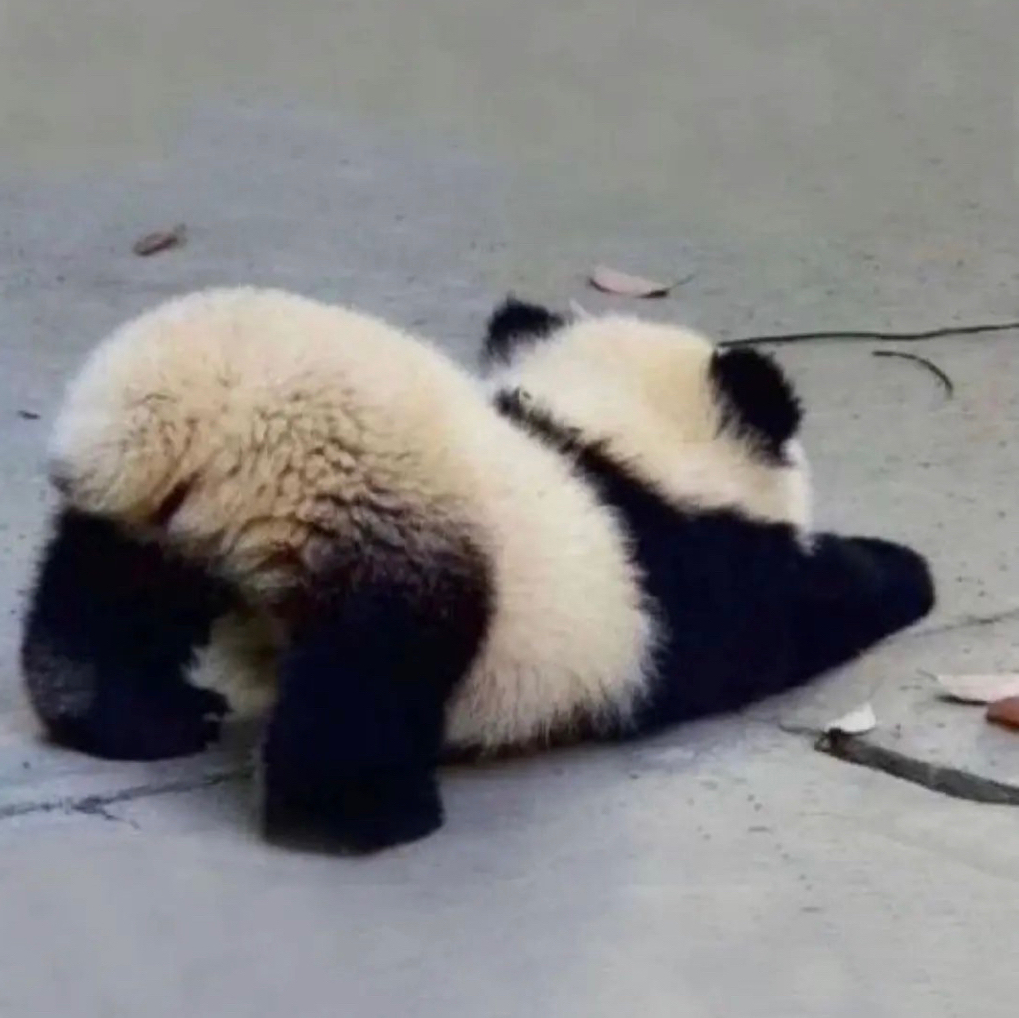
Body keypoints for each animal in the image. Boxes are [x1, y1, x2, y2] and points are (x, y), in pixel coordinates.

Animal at [20, 286, 935, 852]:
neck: (611, 434)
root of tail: (190, 434)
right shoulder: (691, 573)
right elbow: (784, 619)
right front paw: (900, 571)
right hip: (384, 526)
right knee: (371, 675)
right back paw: (362, 815)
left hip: (149, 524)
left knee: (102, 600)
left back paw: (132, 716)